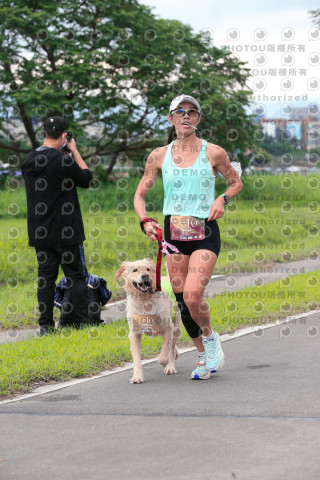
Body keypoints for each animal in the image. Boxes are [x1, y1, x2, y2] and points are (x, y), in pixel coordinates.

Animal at [115, 256, 181, 384]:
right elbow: (136, 359)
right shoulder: (134, 334)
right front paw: (137, 377)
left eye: (148, 269)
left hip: (176, 326)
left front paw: (165, 361)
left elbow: (164, 354)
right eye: (135, 270)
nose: (145, 275)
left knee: (171, 345)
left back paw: (170, 367)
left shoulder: (168, 329)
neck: (144, 301)